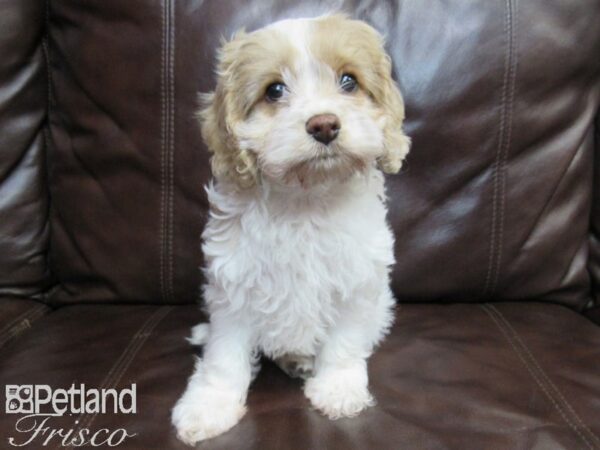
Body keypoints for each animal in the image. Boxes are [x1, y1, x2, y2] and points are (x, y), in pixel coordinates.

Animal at [171, 14, 410, 446]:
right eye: (274, 91)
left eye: (348, 81)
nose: (324, 125)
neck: (306, 199)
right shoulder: (235, 283)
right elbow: (224, 354)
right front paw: (210, 405)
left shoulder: (356, 280)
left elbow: (345, 340)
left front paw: (337, 388)